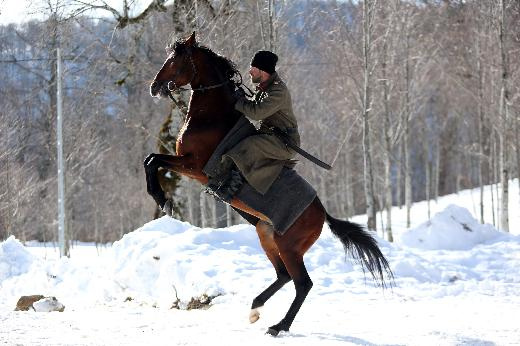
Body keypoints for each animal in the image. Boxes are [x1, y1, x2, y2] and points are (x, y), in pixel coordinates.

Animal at [144, 31, 392, 336]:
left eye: (176, 61)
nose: (155, 87)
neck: (211, 116)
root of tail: (322, 213)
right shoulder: (187, 165)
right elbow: (150, 160)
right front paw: (160, 198)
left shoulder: (193, 166)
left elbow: (153, 161)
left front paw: (162, 199)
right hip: (267, 236)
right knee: (284, 276)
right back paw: (255, 309)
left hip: (289, 247)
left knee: (302, 283)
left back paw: (278, 325)